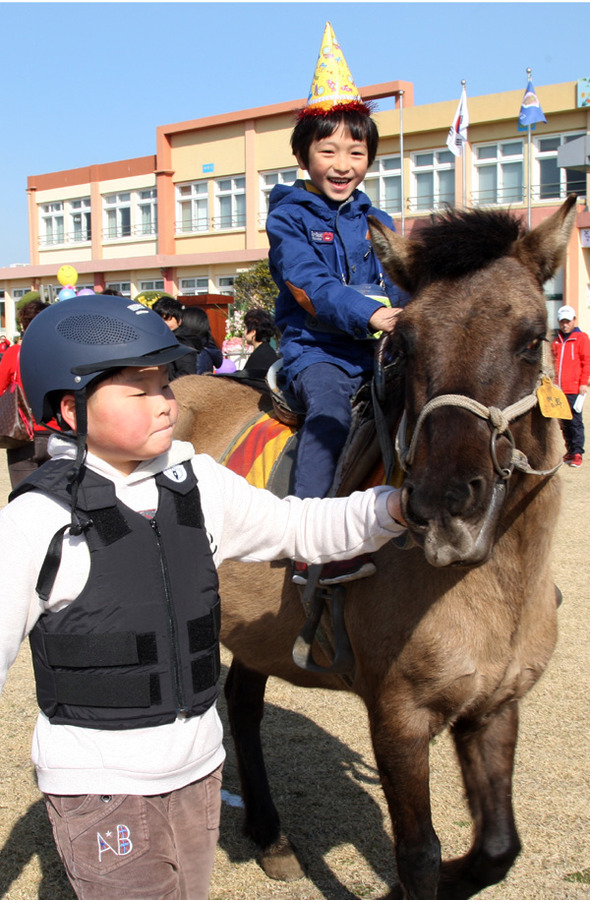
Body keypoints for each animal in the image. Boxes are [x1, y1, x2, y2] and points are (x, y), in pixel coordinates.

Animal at [171, 197, 580, 900]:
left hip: (258, 631)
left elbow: (497, 848)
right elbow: (417, 855)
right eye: (406, 343)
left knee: (244, 704)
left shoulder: (494, 707)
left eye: (533, 340)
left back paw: (270, 835)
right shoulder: (399, 717)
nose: (443, 503)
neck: (494, 586)